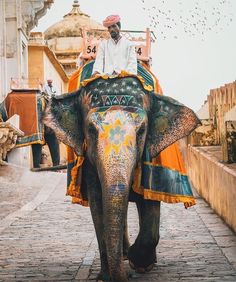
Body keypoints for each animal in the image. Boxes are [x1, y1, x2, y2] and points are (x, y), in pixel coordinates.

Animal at [43, 74, 200, 280]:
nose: (125, 276)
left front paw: (140, 264)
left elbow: (149, 200)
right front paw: (105, 277)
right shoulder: (89, 163)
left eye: (141, 131)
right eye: (91, 130)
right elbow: (97, 204)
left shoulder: (149, 154)